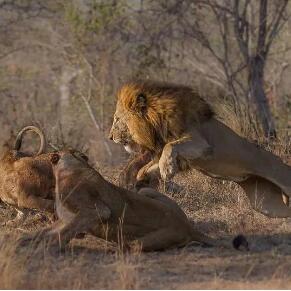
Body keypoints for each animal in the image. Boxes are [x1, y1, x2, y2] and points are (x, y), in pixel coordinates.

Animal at [109, 81, 291, 218]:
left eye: (117, 119)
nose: (110, 137)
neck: (156, 124)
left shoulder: (201, 143)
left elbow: (170, 146)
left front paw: (167, 170)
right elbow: (151, 165)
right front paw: (144, 176)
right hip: (268, 205)